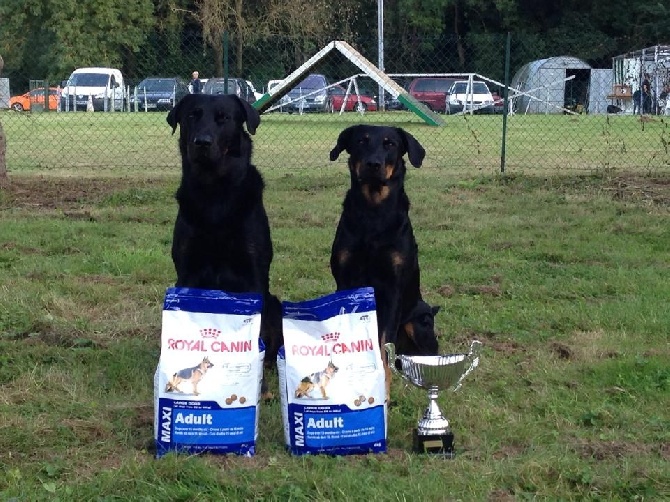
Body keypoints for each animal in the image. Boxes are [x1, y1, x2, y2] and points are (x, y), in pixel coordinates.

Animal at [169, 94, 284, 370]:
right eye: (192, 115)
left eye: (224, 118)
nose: (202, 142)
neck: (214, 193)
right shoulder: (186, 273)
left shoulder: (253, 274)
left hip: (275, 302)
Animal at [330, 124, 440, 400]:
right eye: (361, 141)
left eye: (390, 144)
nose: (373, 164)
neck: (373, 212)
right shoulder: (345, 280)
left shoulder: (392, 288)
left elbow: (383, 346)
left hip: (419, 322)